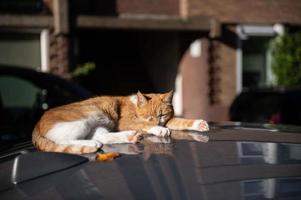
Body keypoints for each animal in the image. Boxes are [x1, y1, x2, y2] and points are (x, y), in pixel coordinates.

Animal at [31, 91, 209, 155]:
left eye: (162, 114)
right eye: (148, 117)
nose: (158, 122)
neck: (135, 105)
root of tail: (37, 122)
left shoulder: (169, 120)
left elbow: (180, 121)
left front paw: (199, 124)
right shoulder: (125, 122)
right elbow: (143, 125)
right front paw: (158, 129)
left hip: (98, 127)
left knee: (103, 138)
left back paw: (131, 137)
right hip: (82, 121)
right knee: (62, 141)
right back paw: (91, 145)